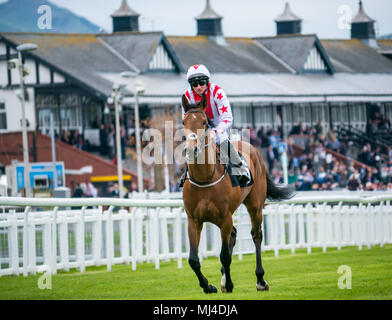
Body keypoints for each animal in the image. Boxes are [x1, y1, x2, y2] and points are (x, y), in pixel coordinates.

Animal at [182, 94, 292, 294]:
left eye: (204, 122)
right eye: (183, 121)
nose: (191, 149)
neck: (204, 179)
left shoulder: (225, 216)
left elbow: (224, 255)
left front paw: (230, 283)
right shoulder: (193, 219)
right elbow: (193, 260)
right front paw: (208, 286)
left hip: (255, 205)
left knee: (256, 235)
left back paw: (260, 280)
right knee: (233, 234)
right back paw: (224, 279)